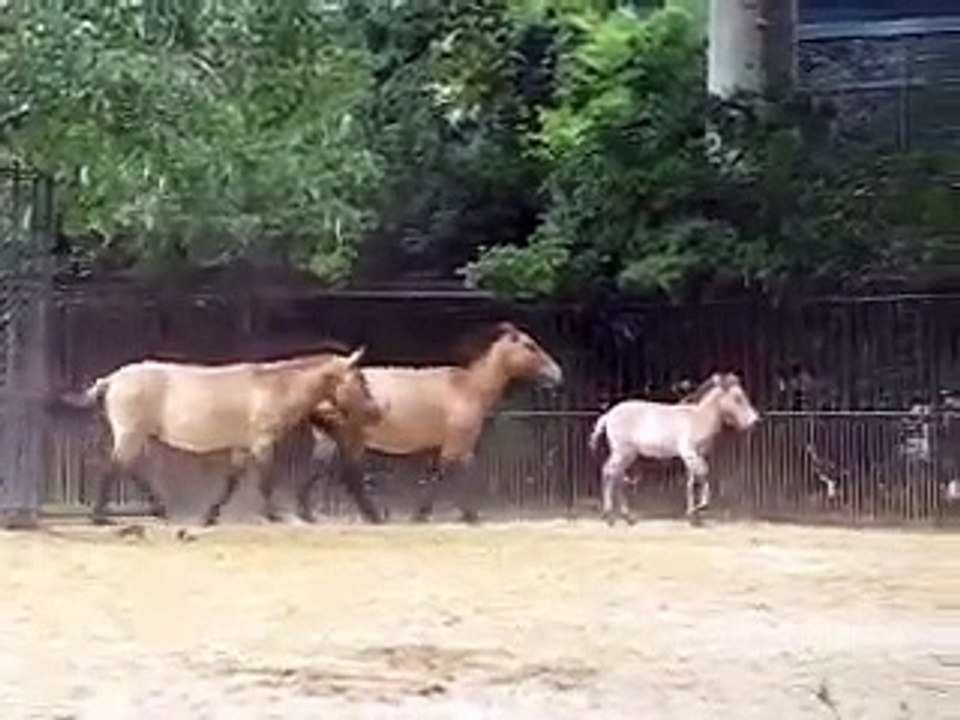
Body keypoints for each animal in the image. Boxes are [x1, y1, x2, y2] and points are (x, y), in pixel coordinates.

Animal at [59, 346, 381, 526]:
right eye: (360, 379)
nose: (376, 412)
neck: (273, 386)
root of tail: (112, 379)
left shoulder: (242, 447)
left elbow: (231, 482)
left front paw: (210, 516)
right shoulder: (263, 443)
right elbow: (266, 481)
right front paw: (274, 515)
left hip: (136, 436)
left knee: (129, 469)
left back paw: (158, 509)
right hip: (131, 434)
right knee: (113, 468)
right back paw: (101, 518)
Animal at [301, 322, 564, 524]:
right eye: (530, 346)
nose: (557, 373)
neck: (469, 388)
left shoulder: (447, 447)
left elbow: (440, 476)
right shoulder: (458, 446)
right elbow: (453, 477)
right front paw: (463, 514)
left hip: (329, 438)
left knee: (317, 469)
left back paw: (307, 513)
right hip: (353, 438)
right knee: (351, 476)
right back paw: (373, 516)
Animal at [589, 372, 760, 526]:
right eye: (738, 398)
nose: (755, 421)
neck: (699, 418)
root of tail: (608, 415)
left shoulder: (697, 455)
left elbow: (692, 482)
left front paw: (694, 518)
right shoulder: (690, 453)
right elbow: (703, 473)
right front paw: (701, 507)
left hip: (628, 455)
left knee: (617, 477)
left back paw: (628, 518)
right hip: (622, 452)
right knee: (609, 472)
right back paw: (609, 517)